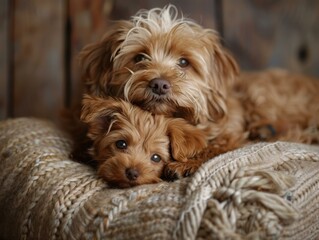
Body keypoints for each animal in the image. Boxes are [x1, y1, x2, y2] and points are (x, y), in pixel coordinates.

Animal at [77, 4, 319, 176]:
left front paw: (186, 163)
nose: (159, 84)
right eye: (139, 58)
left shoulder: (232, 133)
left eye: (184, 62)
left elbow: (218, 146)